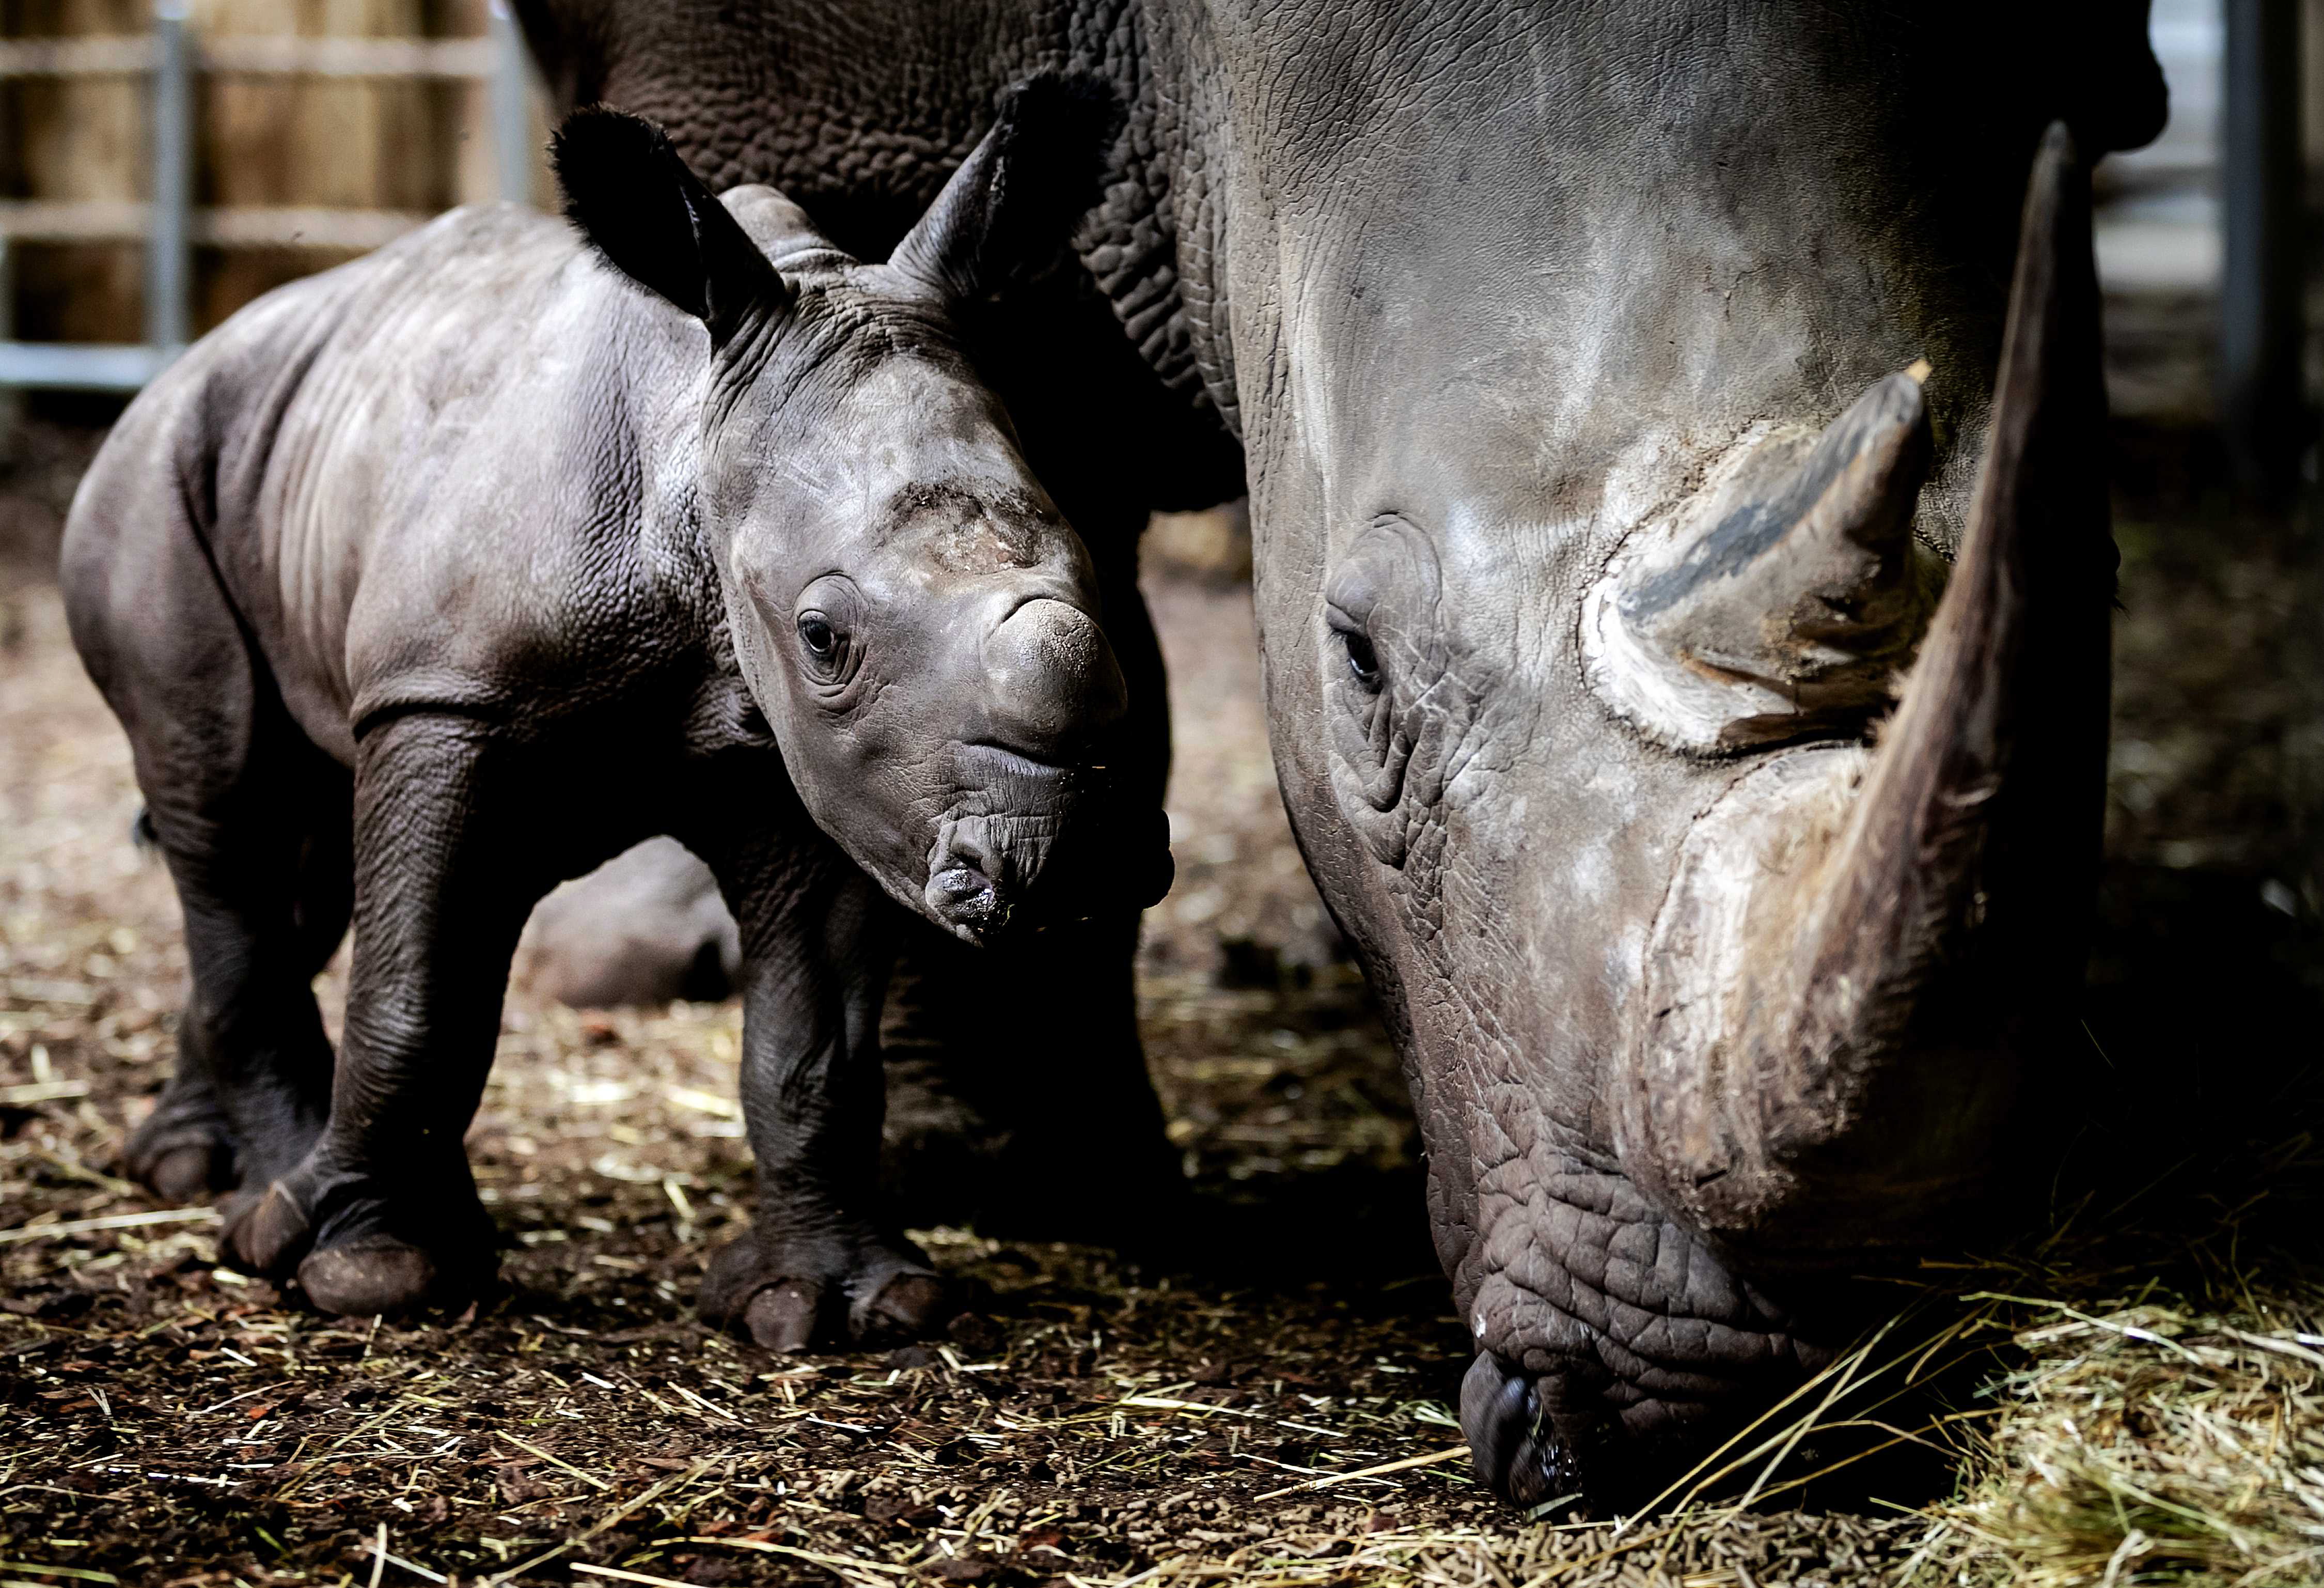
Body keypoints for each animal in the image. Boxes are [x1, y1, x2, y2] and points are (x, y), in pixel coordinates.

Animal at [59, 81, 1162, 1348]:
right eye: (824, 635)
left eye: (1097, 576)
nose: (1064, 863)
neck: (693, 444)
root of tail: (188, 359)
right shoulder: (445, 696)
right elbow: (414, 996)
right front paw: (362, 1272)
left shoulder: (826, 766)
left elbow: (815, 1045)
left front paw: (843, 1303)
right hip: (152, 477)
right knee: (224, 795)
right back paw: (254, 1197)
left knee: (305, 853)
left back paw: (224, 1174)